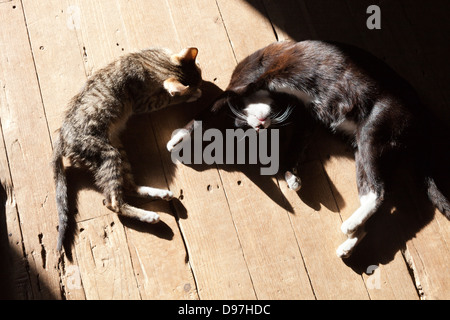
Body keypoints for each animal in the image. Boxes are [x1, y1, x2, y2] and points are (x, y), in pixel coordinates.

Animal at [52, 46, 202, 251]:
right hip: (107, 154)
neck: (156, 62)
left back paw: (159, 193)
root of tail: (61, 137)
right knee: (112, 202)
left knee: (128, 186)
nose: (203, 83)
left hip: (118, 149)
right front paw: (191, 94)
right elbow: (166, 99)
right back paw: (148, 215)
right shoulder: (143, 103)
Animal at [170, 40, 450, 258]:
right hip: (368, 148)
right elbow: (296, 145)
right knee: (373, 193)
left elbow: (211, 107)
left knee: (379, 192)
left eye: (246, 125)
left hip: (373, 129)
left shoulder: (249, 82)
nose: (260, 125)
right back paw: (348, 245)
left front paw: (178, 137)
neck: (280, 99)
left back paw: (349, 226)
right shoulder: (305, 118)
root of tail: (422, 114)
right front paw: (292, 177)